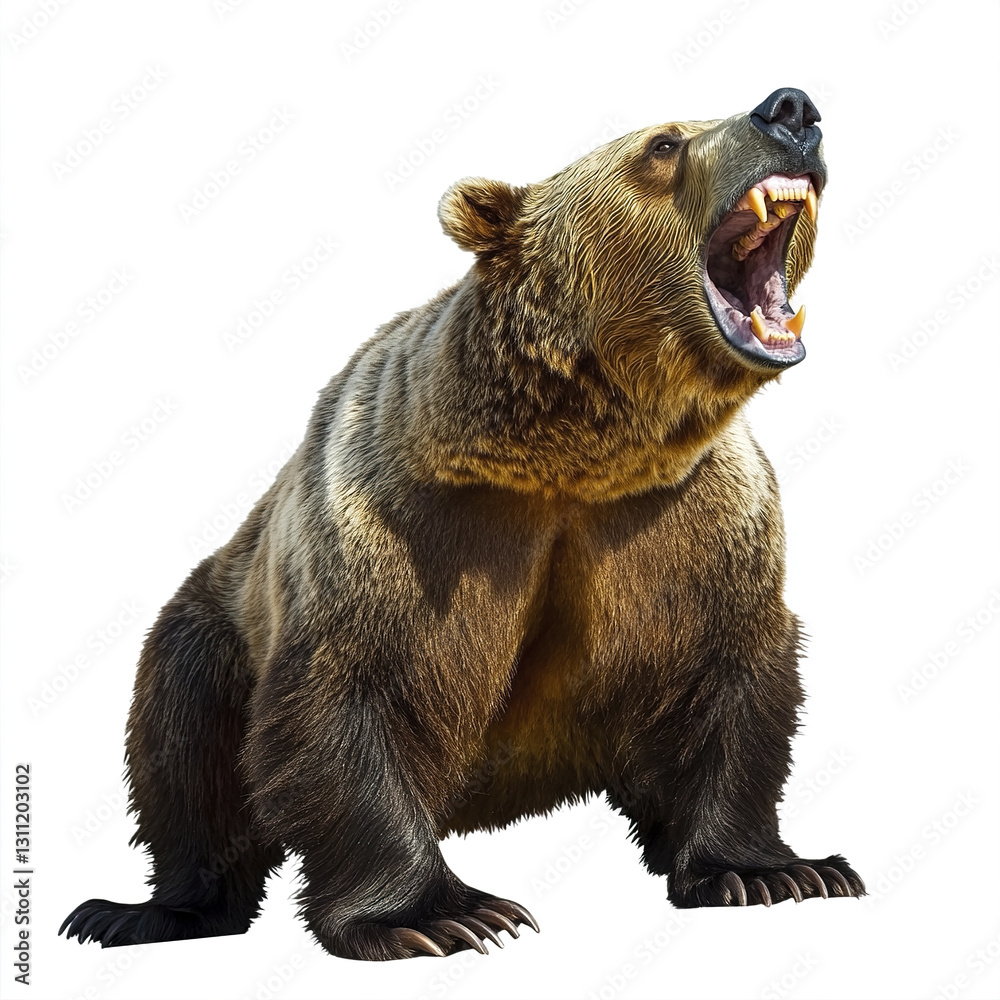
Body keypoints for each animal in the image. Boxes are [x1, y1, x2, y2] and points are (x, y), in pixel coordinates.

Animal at [61, 87, 864, 962]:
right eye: (662, 144)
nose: (790, 108)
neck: (575, 458)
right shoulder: (401, 521)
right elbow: (353, 698)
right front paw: (438, 916)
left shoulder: (690, 519)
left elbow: (729, 675)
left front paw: (774, 871)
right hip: (216, 621)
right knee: (183, 747)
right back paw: (143, 912)